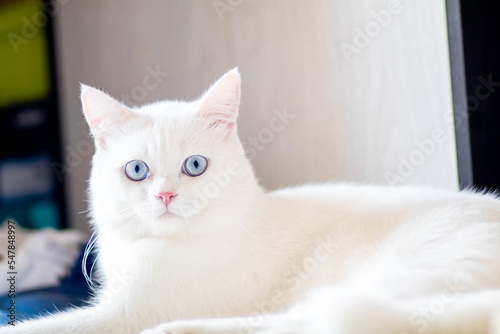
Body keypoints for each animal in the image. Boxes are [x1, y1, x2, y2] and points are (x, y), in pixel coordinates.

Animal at [1, 68, 498, 334]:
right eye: (137, 170)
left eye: (194, 166)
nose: (165, 195)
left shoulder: (121, 316)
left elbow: (42, 328)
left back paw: (175, 330)